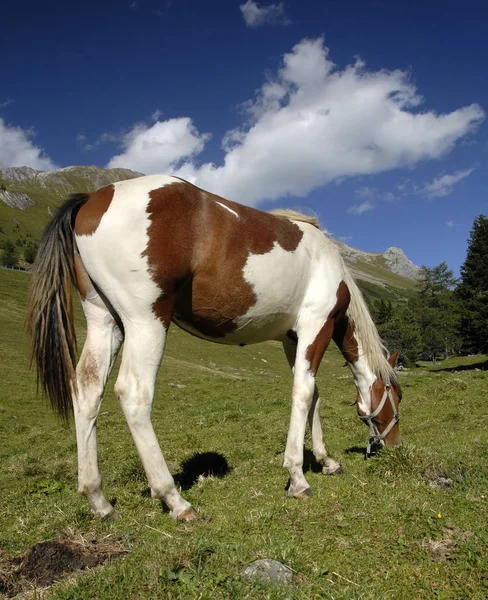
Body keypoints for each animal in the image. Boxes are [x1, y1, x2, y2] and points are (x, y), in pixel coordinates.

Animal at [25, 173, 400, 520]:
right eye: (398, 397)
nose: (394, 446)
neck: (327, 261)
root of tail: (93, 199)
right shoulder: (316, 327)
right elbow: (304, 394)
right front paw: (297, 477)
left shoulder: (293, 339)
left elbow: (314, 396)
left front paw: (325, 461)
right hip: (145, 322)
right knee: (134, 394)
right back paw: (174, 500)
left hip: (105, 322)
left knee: (87, 391)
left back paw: (98, 500)